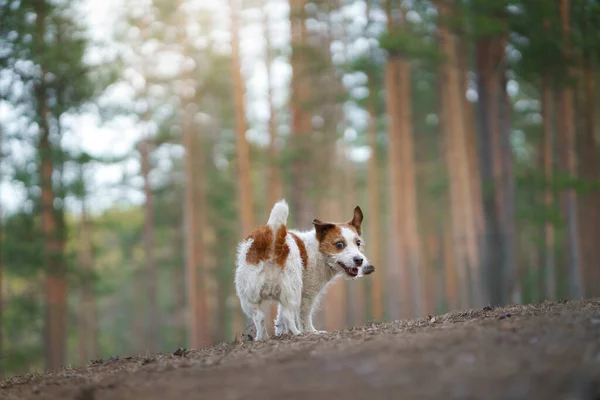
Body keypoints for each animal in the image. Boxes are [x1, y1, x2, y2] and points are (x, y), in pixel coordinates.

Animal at [234, 198, 376, 340]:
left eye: (358, 243)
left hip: (250, 298)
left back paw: (262, 337)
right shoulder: (307, 295)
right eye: (339, 244)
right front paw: (310, 331)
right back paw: (297, 333)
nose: (359, 260)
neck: (318, 251)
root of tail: (273, 239)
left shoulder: (281, 297)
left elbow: (279, 317)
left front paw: (281, 333)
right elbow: (304, 316)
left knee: (260, 316)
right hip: (293, 291)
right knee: (288, 315)